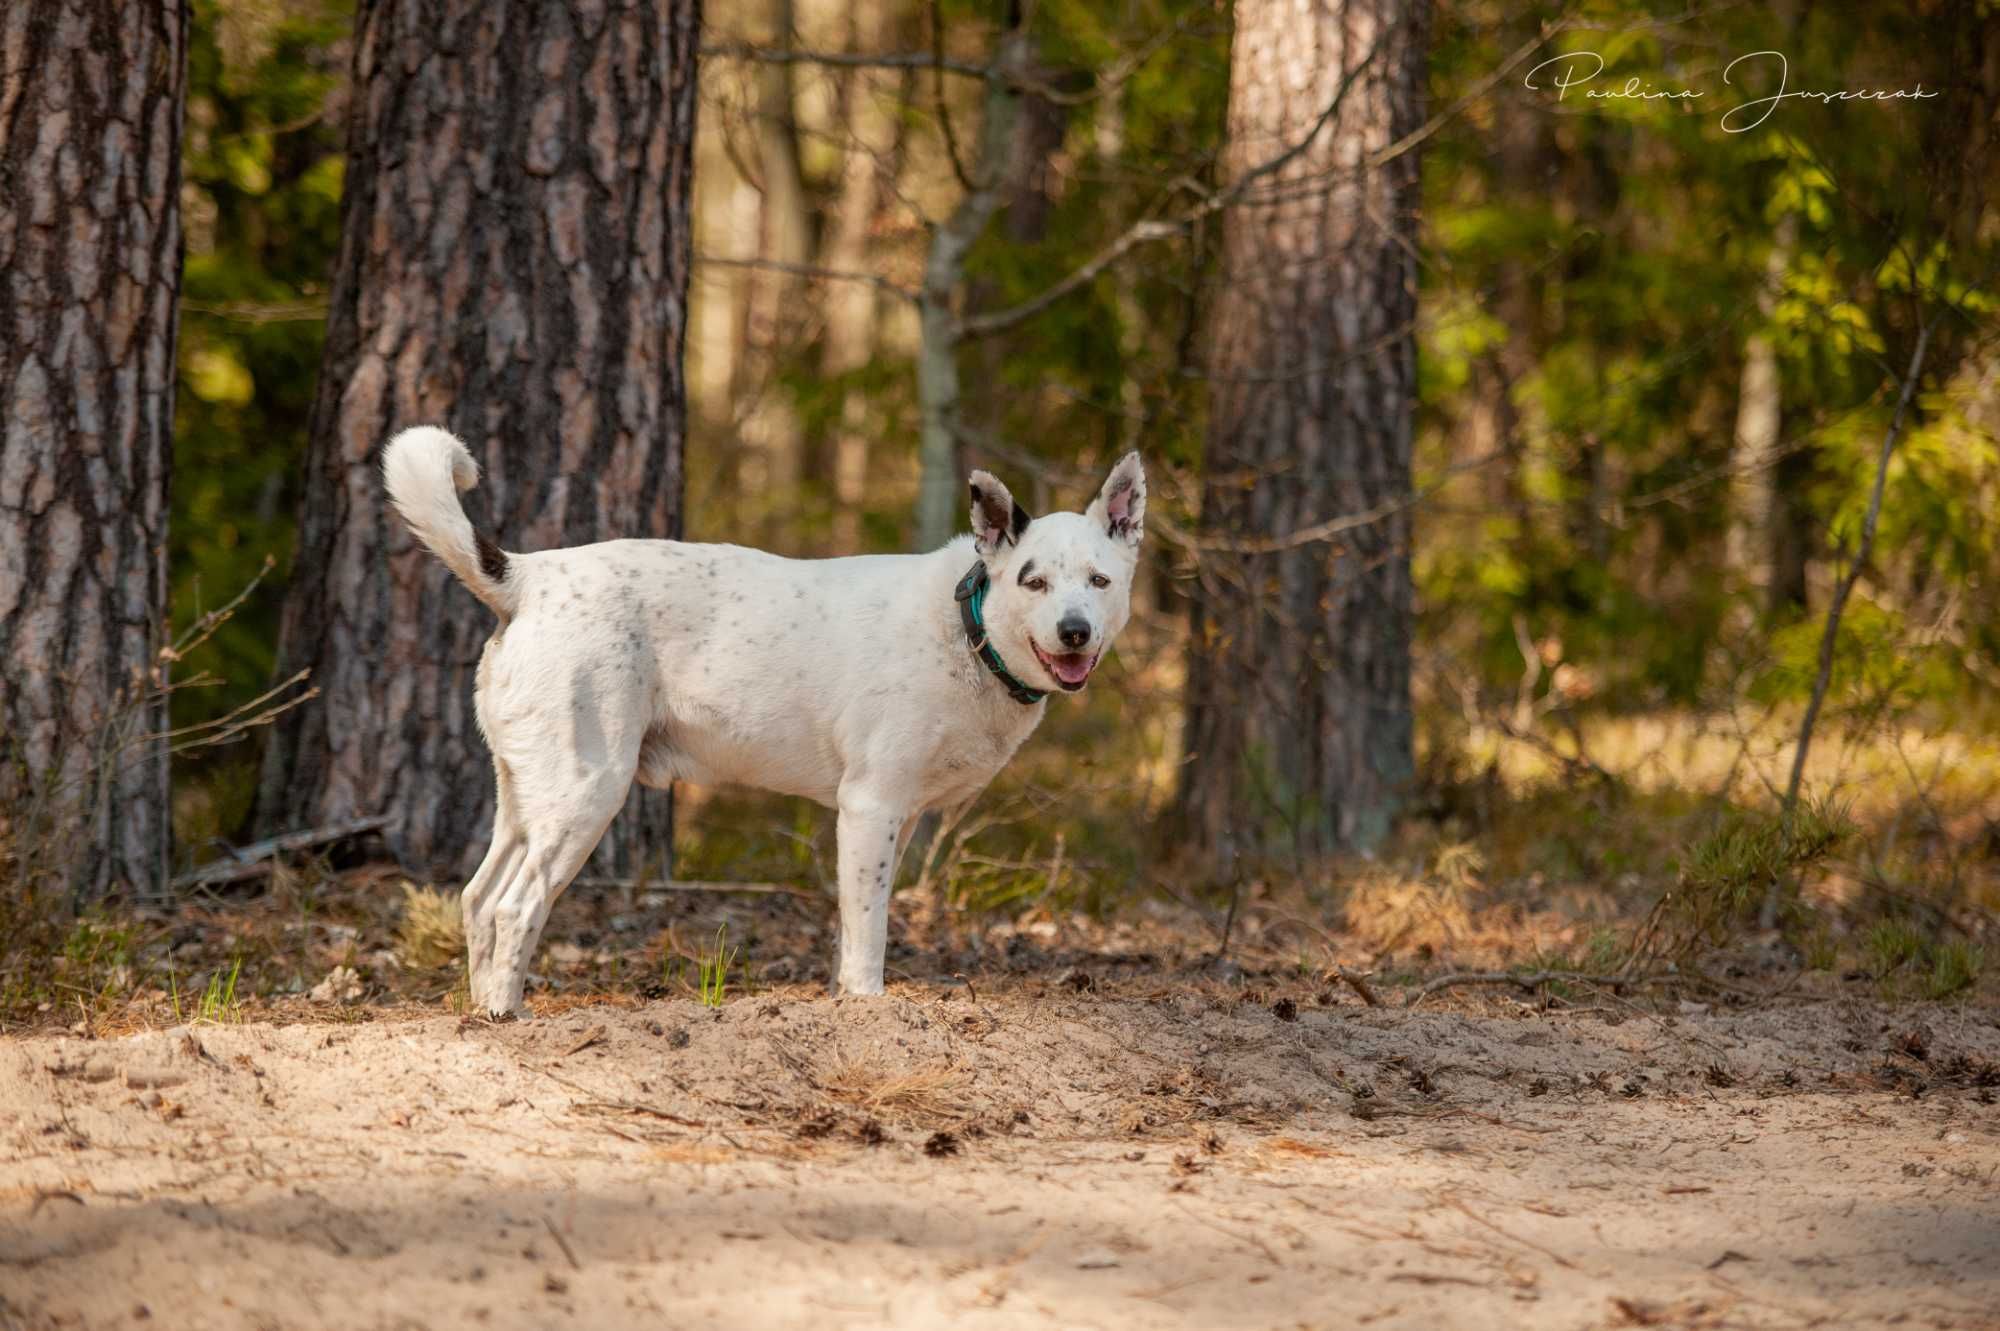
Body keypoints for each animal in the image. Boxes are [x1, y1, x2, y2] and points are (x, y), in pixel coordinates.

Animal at [382, 429, 1152, 1011]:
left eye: (1100, 581)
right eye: (1033, 581)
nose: (1076, 631)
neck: (968, 627)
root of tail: (527, 576)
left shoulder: (894, 819)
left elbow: (857, 921)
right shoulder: (870, 805)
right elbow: (868, 933)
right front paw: (866, 1006)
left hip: (525, 794)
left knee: (478, 899)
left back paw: (481, 1009)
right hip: (585, 793)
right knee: (516, 907)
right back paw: (507, 1016)